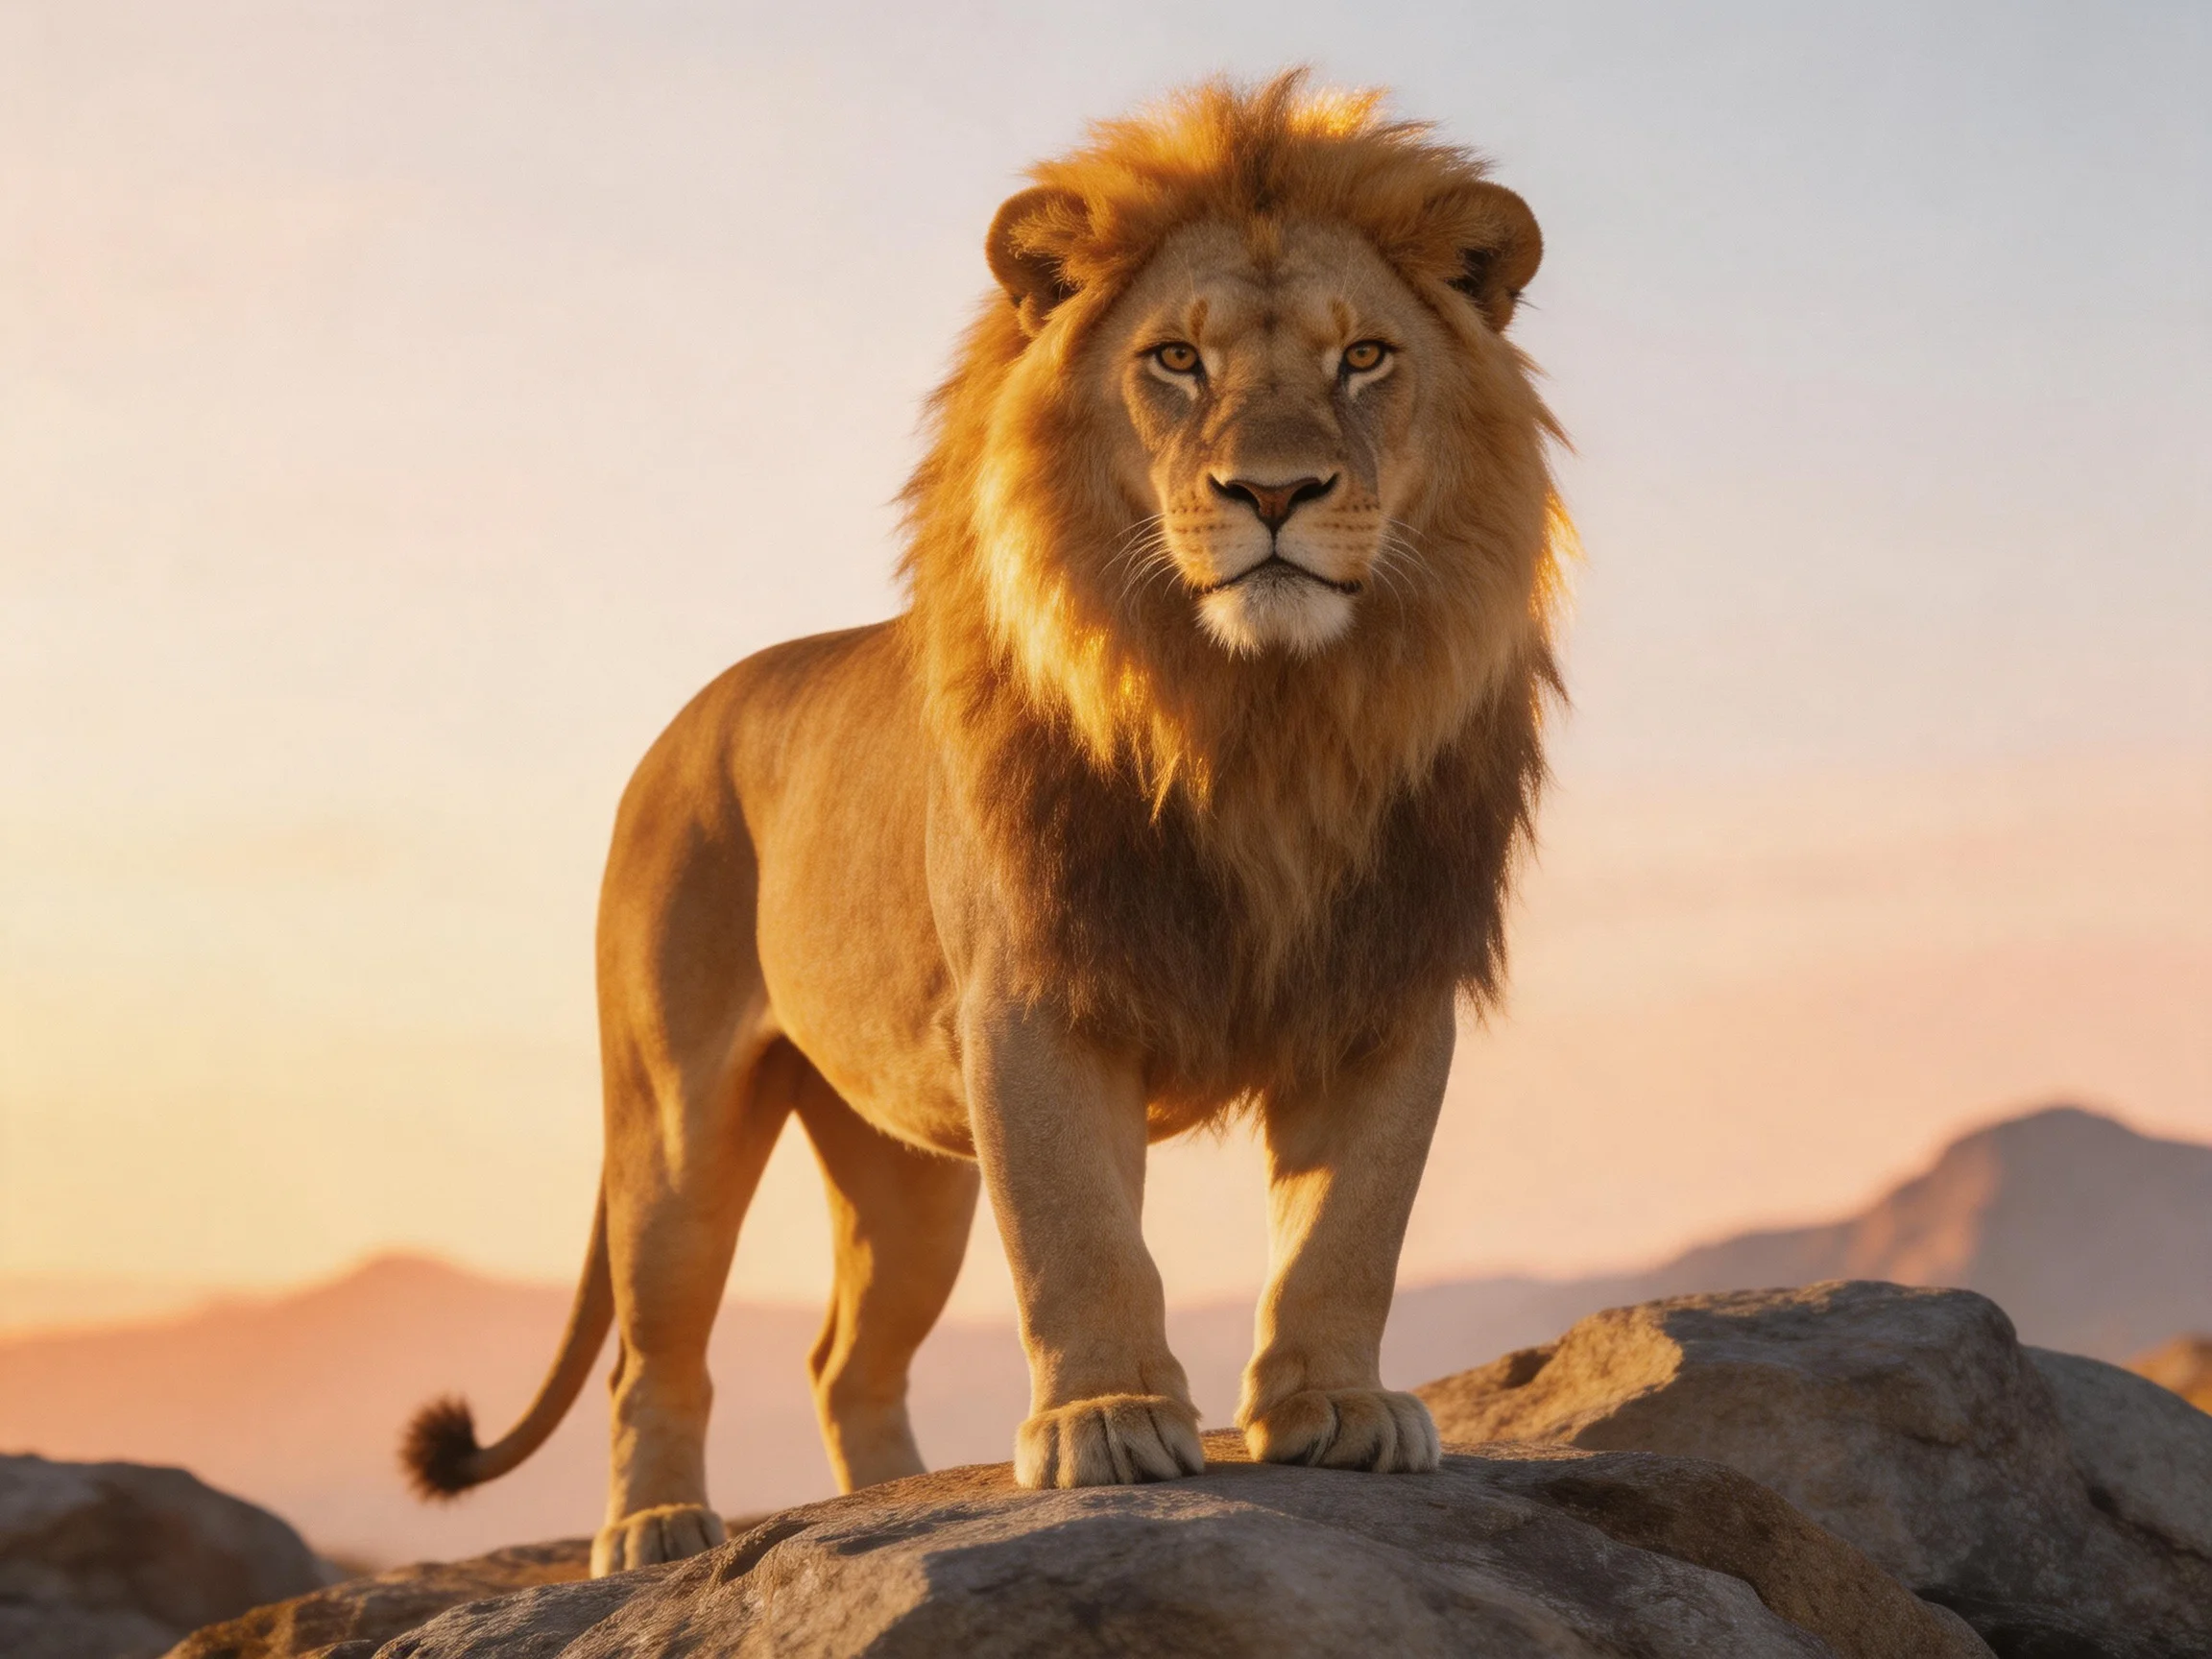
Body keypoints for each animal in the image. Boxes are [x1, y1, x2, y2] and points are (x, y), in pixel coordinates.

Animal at [401, 71, 1566, 1577]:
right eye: (1175, 362)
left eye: (1364, 356)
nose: (1274, 493)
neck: (1257, 719)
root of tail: (682, 724)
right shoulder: (1033, 998)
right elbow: (1080, 1230)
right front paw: (1110, 1424)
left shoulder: (1384, 981)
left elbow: (1351, 1224)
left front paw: (1341, 1408)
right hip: (671, 1116)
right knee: (652, 1351)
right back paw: (657, 1529)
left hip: (902, 1166)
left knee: (846, 1356)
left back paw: (882, 1502)